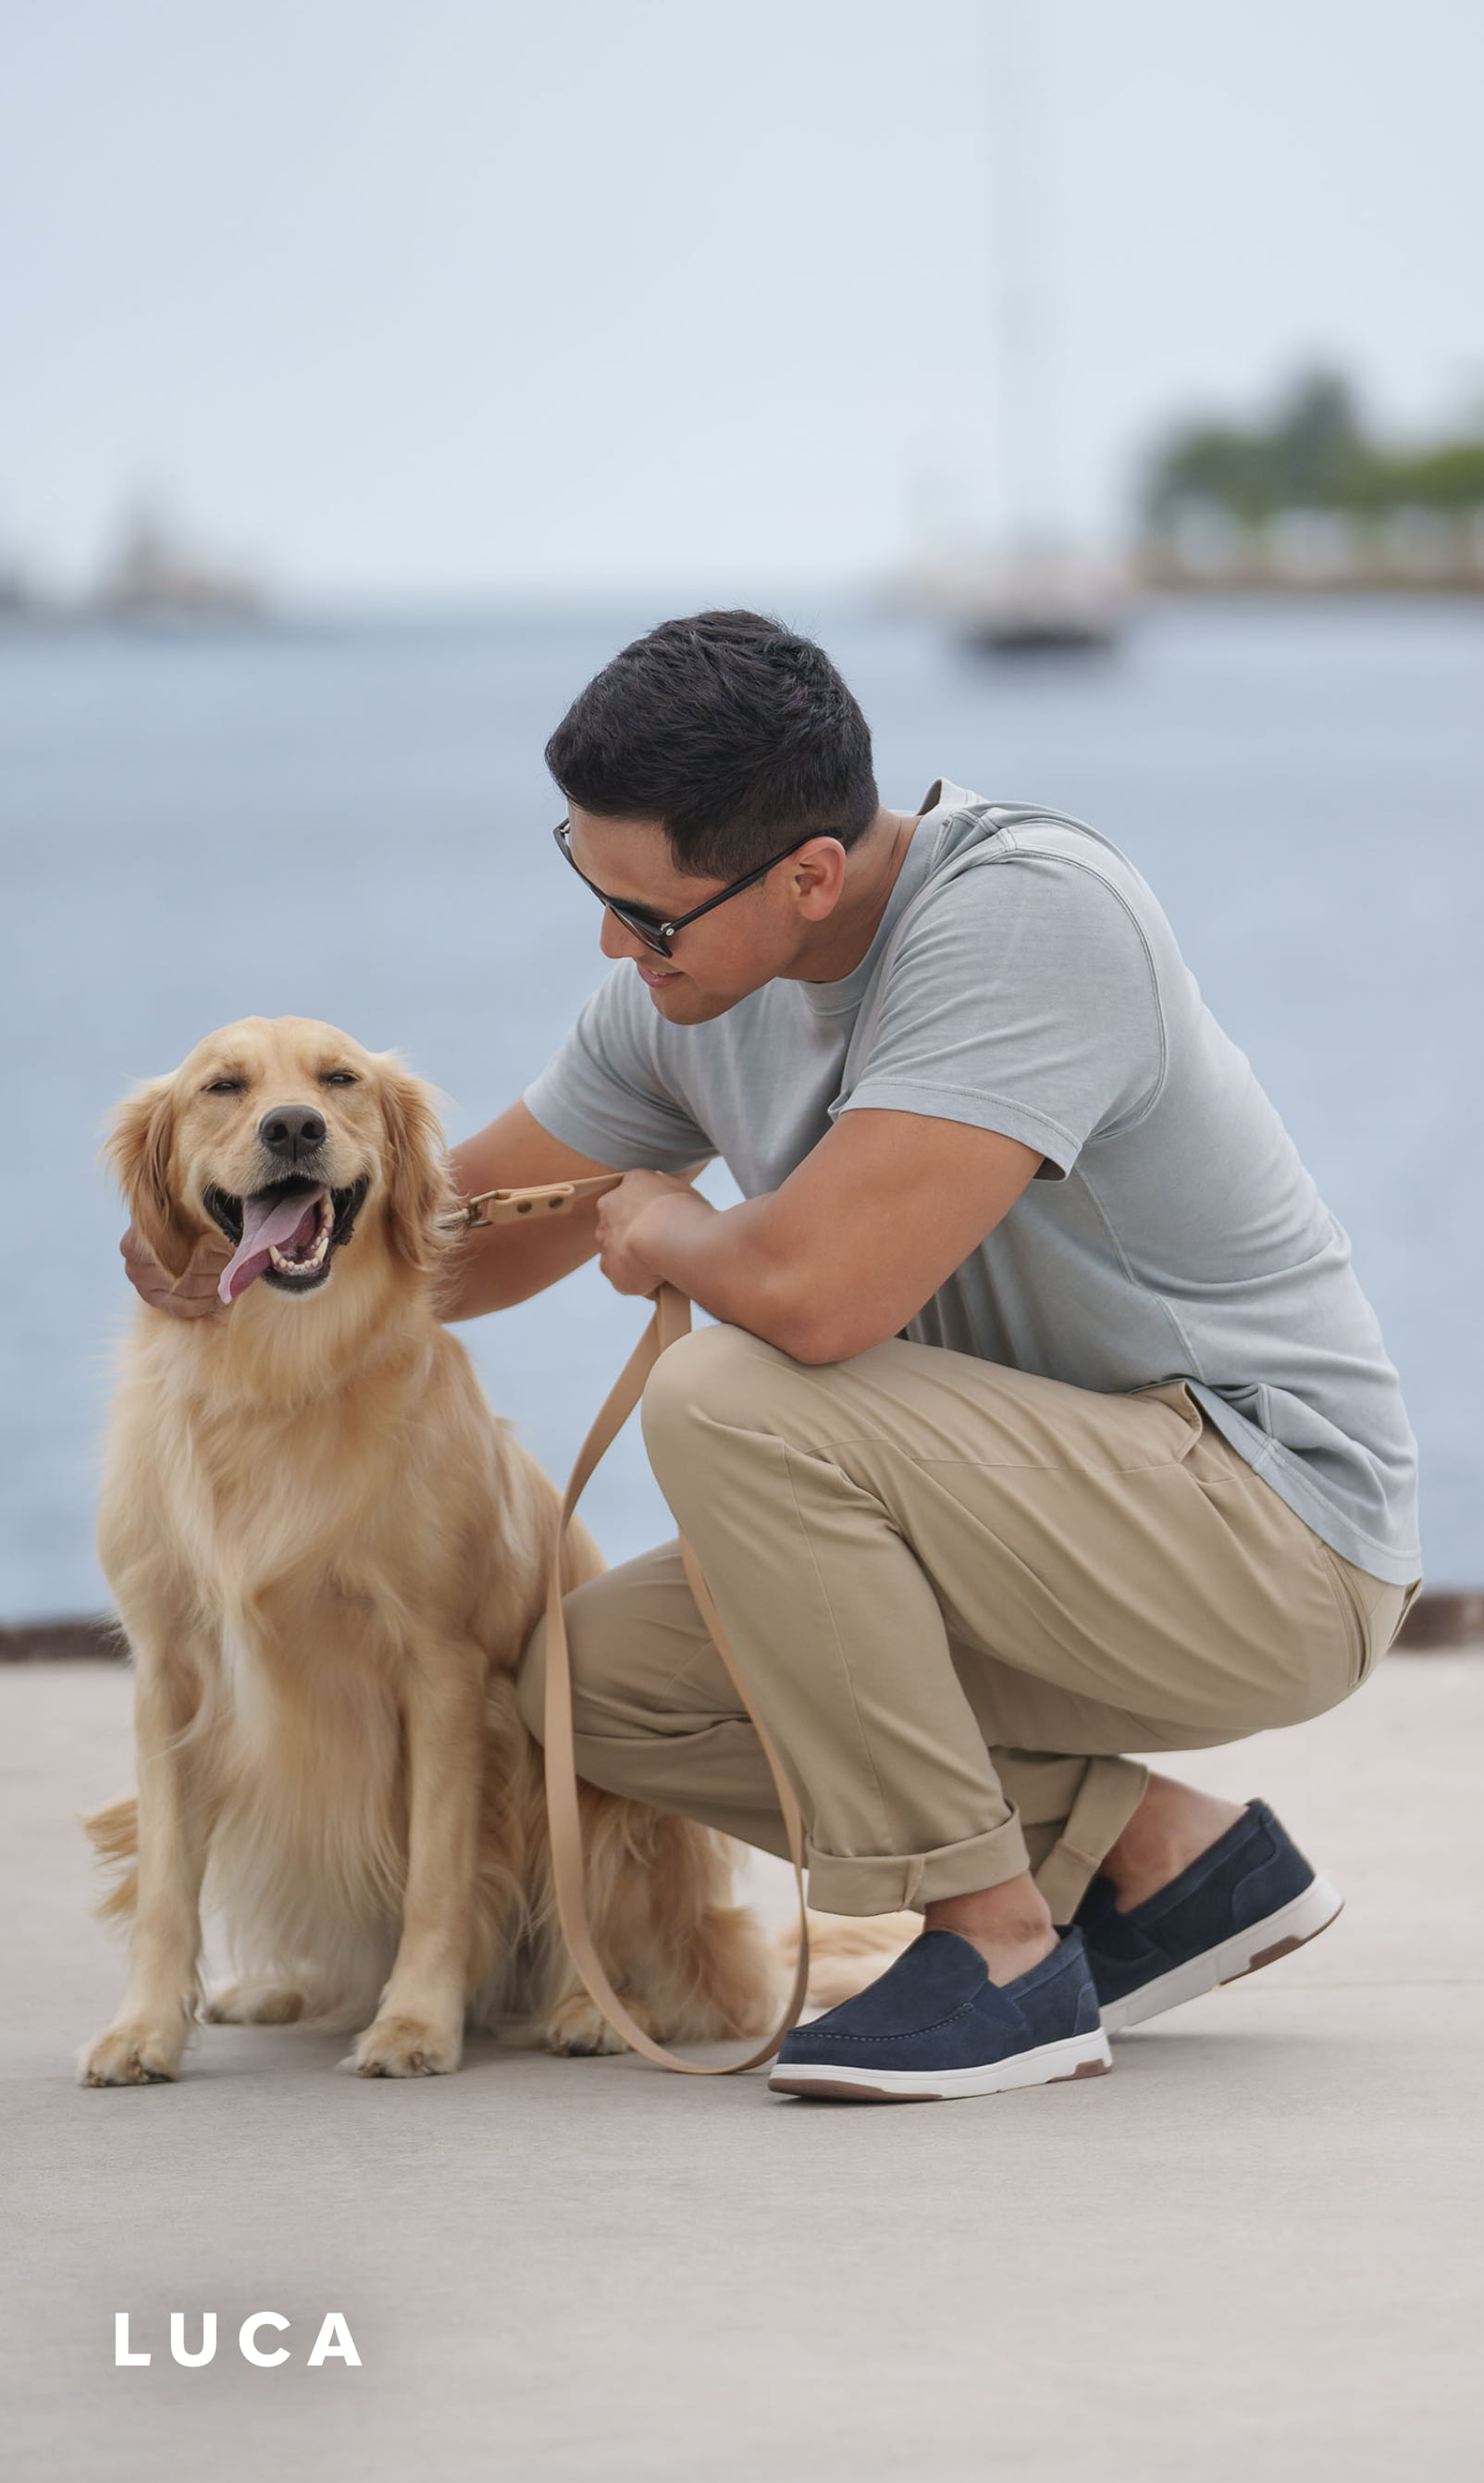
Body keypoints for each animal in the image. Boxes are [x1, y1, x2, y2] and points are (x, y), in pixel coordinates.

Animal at [78, 1018, 779, 2085]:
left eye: (339, 1078)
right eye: (222, 1087)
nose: (293, 1125)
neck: (280, 1372)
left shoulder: (443, 1670)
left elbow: (436, 1875)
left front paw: (413, 2023)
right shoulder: (169, 1669)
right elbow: (165, 1882)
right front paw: (144, 2028)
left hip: (593, 1785)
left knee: (654, 1959)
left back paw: (588, 2012)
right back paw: (274, 1990)